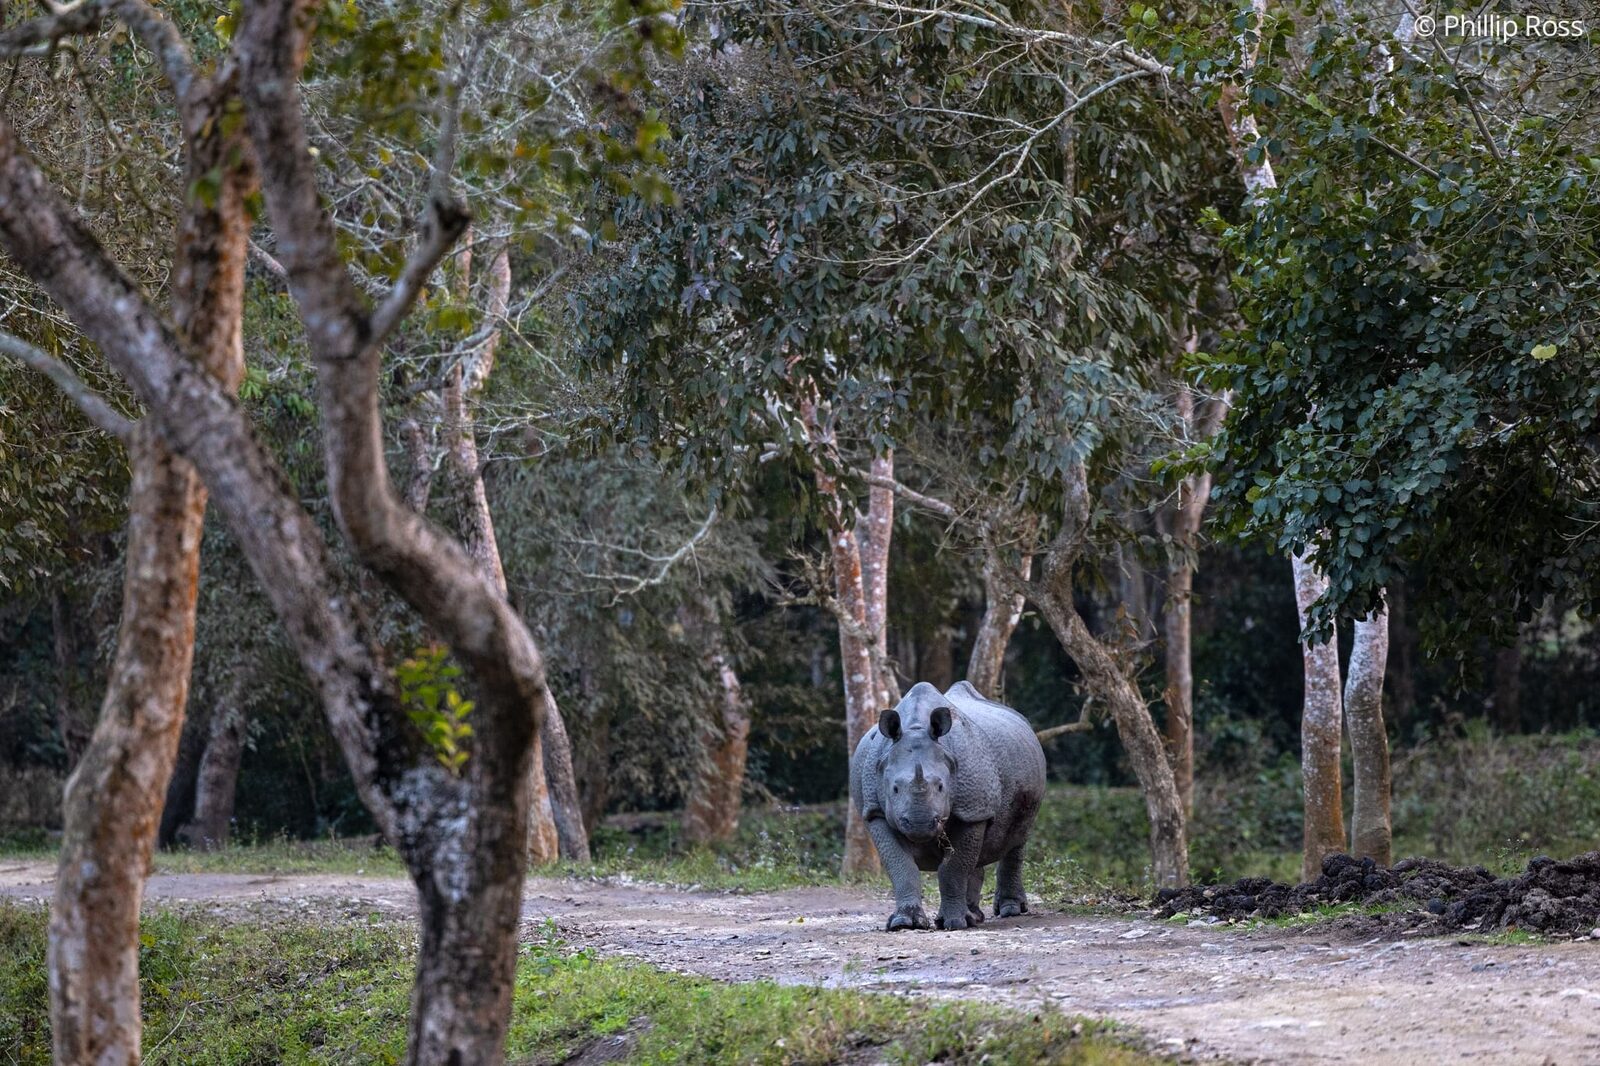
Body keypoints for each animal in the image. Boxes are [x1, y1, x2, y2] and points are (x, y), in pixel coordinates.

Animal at [849, 680, 1047, 931]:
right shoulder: (875, 811)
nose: (920, 824)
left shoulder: (973, 810)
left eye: (942, 787)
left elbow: (954, 867)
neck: (915, 726)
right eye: (894, 789)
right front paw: (904, 923)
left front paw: (955, 923)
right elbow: (901, 866)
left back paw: (1008, 911)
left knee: (1018, 837)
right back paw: (975, 915)